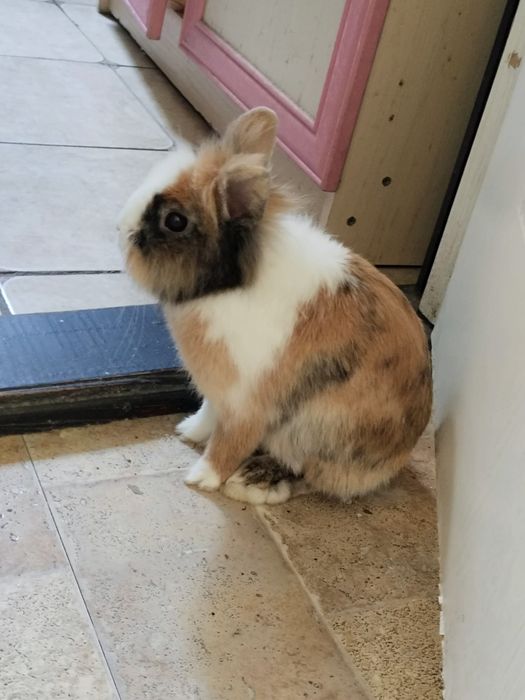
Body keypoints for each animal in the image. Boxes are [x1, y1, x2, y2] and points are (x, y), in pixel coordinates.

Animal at [118, 107, 432, 505]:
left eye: (175, 221)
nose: (121, 230)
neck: (232, 285)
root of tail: (397, 460)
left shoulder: (248, 404)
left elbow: (228, 444)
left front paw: (202, 478)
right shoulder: (219, 392)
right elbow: (209, 416)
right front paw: (188, 431)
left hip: (318, 429)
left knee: (313, 475)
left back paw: (252, 483)